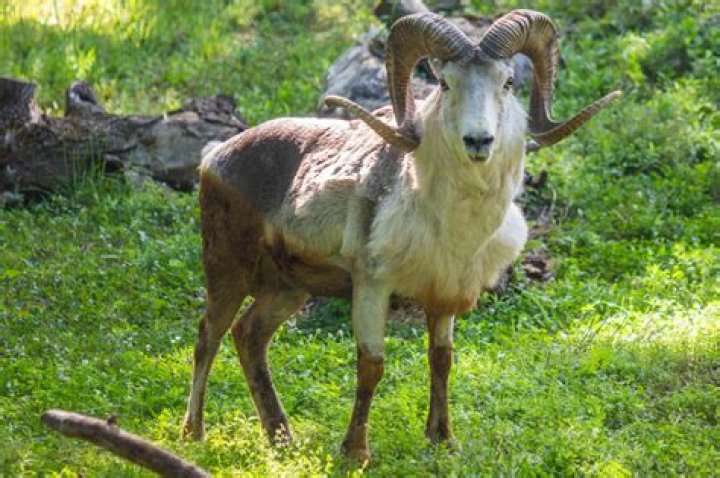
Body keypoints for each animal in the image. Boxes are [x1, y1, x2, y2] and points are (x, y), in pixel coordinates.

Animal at [181, 9, 620, 462]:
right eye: (445, 83)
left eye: (507, 82)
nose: (478, 141)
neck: (448, 220)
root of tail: (214, 159)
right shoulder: (372, 288)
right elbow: (371, 365)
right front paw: (356, 453)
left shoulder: (441, 298)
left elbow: (441, 359)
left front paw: (442, 440)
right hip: (227, 273)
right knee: (207, 336)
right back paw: (193, 434)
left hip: (288, 290)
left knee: (248, 336)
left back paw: (281, 436)